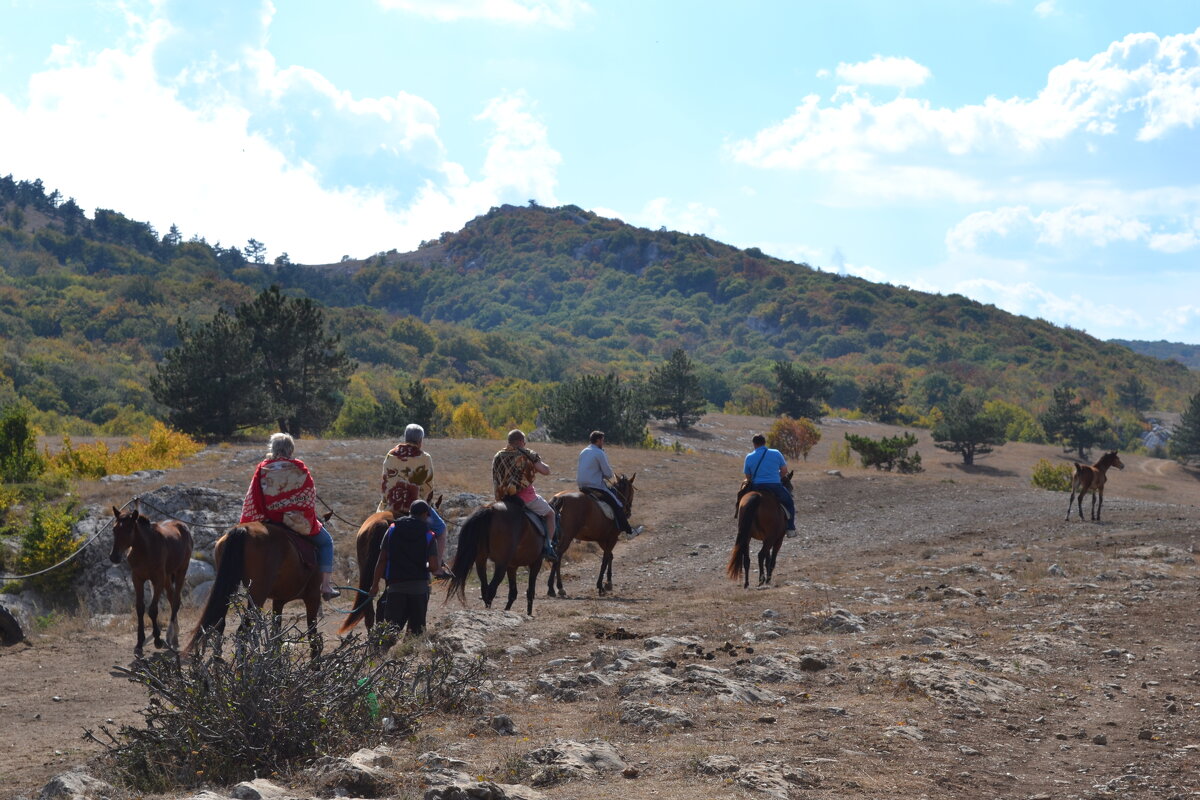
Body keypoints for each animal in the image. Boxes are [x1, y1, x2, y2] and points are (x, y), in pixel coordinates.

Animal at [110, 506, 192, 657]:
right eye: (114, 529)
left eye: (129, 529)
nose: (114, 557)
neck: (145, 549)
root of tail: (182, 525)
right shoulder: (137, 579)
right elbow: (140, 608)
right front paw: (139, 645)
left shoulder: (157, 579)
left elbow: (153, 610)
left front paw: (158, 640)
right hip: (167, 577)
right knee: (172, 598)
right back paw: (174, 637)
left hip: (180, 571)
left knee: (176, 601)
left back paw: (171, 637)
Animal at [184, 520, 324, 657]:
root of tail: (243, 529)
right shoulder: (313, 597)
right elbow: (312, 633)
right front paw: (315, 662)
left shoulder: (279, 601)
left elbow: (276, 633)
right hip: (257, 595)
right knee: (243, 631)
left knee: (220, 625)